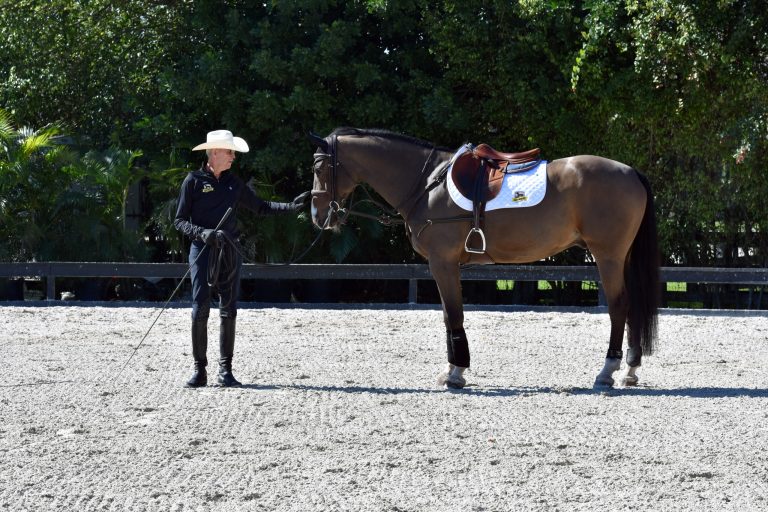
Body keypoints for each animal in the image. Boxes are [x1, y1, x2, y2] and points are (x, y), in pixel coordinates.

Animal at [308, 128, 660, 389]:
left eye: (319, 168)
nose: (316, 214)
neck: (427, 183)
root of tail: (630, 171)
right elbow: (449, 315)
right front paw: (453, 369)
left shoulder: (443, 262)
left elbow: (454, 315)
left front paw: (456, 373)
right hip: (621, 257)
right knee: (630, 306)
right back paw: (630, 370)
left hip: (607, 256)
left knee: (618, 306)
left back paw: (607, 371)